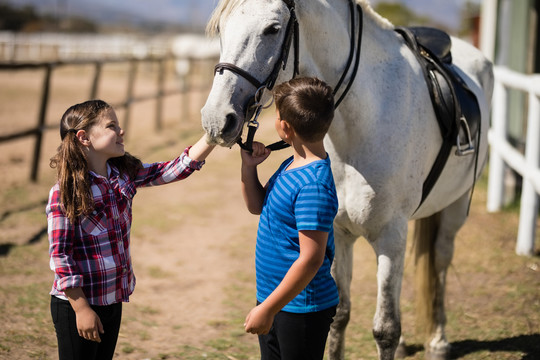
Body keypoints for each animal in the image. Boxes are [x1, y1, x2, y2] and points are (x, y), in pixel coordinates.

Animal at [199, 1, 494, 358]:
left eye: (272, 29)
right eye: (221, 29)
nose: (216, 120)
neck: (366, 118)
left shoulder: (390, 237)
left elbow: (386, 330)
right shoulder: (338, 233)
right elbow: (339, 314)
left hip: (454, 207)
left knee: (440, 260)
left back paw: (438, 341)